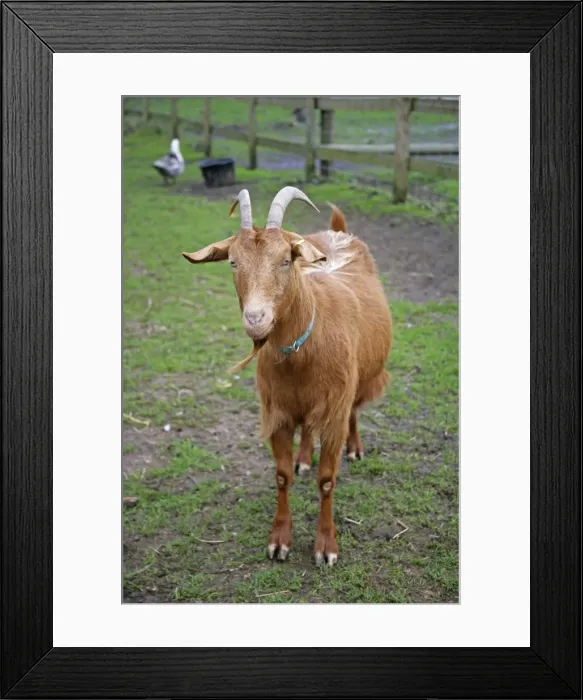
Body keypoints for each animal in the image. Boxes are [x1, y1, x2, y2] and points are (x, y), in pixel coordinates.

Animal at [183, 187, 392, 565]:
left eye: (285, 260)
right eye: (233, 261)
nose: (256, 319)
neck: (303, 355)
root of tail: (339, 231)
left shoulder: (334, 411)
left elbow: (327, 480)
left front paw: (326, 547)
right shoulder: (277, 411)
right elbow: (280, 477)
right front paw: (279, 540)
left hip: (363, 378)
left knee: (355, 408)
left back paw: (355, 448)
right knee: (307, 427)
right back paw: (304, 458)